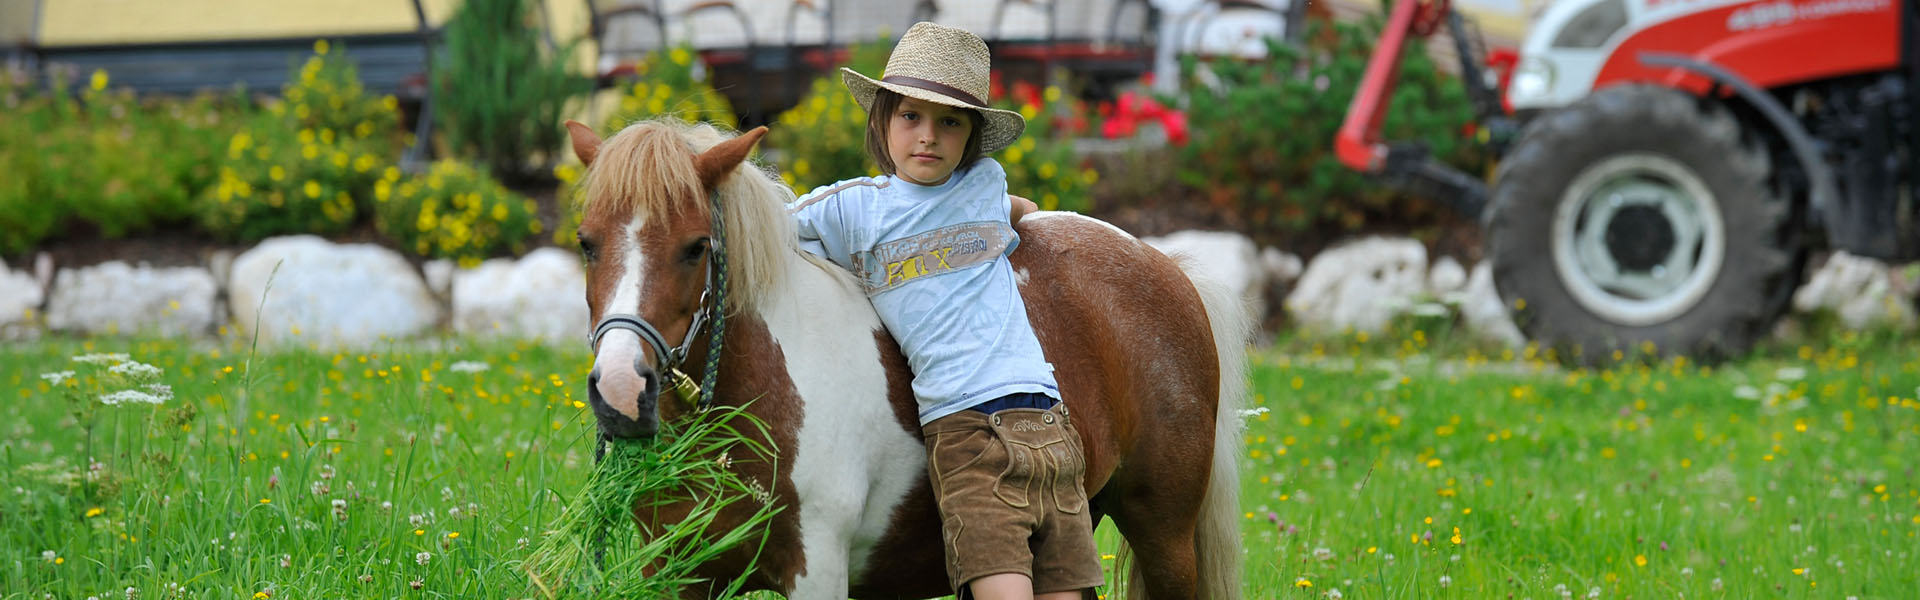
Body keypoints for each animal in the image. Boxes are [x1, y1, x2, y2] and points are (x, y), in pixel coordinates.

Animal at [560, 118, 1244, 600]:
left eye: (696, 247)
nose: (621, 392)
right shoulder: (674, 571)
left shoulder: (817, 572)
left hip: (1164, 537)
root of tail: (1163, 264)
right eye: (587, 243)